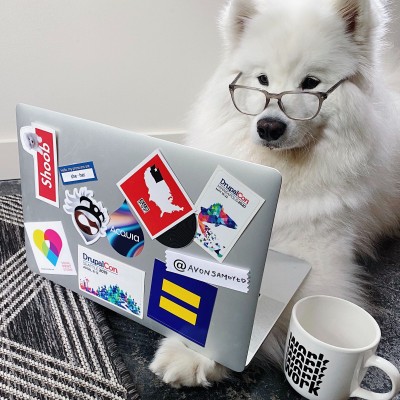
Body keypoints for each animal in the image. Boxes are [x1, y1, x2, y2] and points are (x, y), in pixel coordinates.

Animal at [149, 0, 400, 388]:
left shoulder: (320, 264)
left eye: (310, 83)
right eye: (262, 80)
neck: (285, 171)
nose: (268, 126)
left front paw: (196, 352)